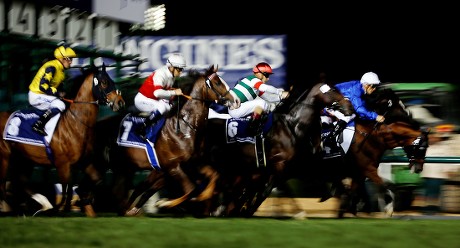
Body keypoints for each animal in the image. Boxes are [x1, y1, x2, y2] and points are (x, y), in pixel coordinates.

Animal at [0, 65, 126, 216]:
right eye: (104, 82)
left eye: (112, 81)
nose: (120, 102)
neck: (75, 124)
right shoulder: (63, 165)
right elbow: (66, 192)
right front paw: (61, 209)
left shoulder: (84, 162)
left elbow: (96, 180)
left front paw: (84, 201)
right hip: (5, 156)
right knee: (3, 185)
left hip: (24, 160)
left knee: (21, 182)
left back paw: (39, 205)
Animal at [108, 65, 237, 216]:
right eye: (217, 83)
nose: (236, 101)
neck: (185, 128)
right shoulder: (173, 168)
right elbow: (191, 190)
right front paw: (166, 203)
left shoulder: (193, 163)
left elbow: (213, 177)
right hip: (122, 167)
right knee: (118, 190)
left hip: (132, 168)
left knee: (137, 188)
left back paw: (130, 210)